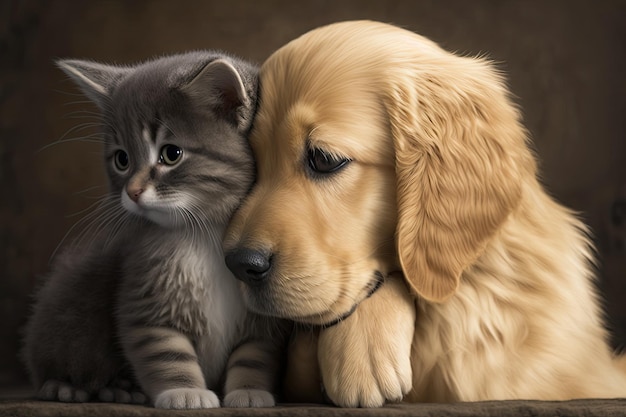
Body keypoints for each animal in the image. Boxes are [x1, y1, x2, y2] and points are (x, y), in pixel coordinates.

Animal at [21, 51, 286, 406]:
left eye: (171, 154)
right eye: (121, 159)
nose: (132, 192)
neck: (204, 235)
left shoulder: (262, 309)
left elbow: (254, 353)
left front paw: (249, 391)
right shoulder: (144, 296)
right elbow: (165, 351)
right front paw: (184, 392)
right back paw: (72, 386)